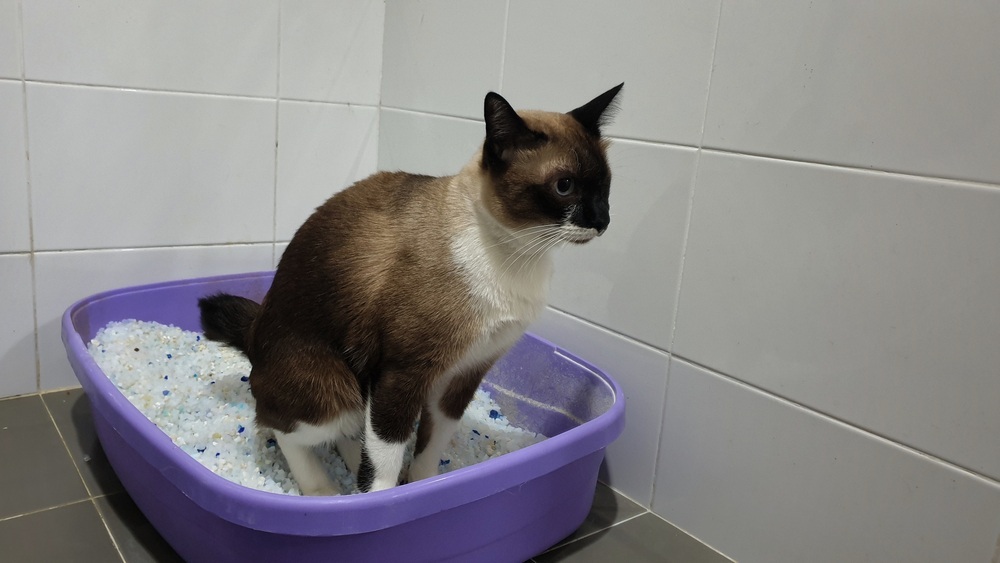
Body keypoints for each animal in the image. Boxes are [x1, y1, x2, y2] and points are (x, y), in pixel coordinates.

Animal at [198, 82, 620, 494]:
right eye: (564, 187)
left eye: (605, 185)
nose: (602, 221)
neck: (518, 254)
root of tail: (255, 333)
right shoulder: (403, 373)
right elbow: (386, 456)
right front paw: (383, 503)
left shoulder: (464, 374)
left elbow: (430, 448)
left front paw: (425, 487)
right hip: (336, 393)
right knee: (280, 425)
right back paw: (326, 492)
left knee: (351, 434)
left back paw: (351, 473)